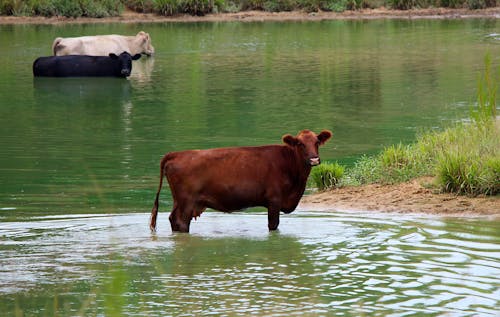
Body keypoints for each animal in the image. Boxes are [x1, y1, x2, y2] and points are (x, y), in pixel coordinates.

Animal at [150, 128, 334, 232]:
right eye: (300, 144)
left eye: (317, 142)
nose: (314, 159)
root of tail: (177, 154)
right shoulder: (274, 200)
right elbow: (273, 225)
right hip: (186, 201)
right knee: (181, 222)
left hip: (179, 200)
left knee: (173, 220)